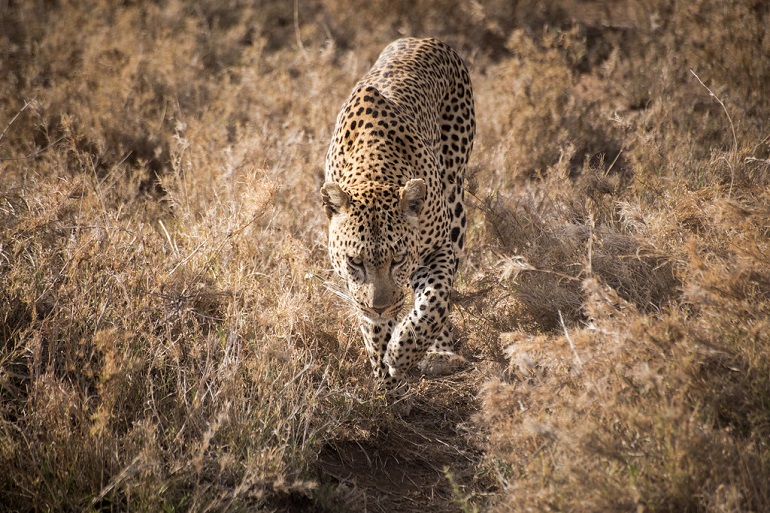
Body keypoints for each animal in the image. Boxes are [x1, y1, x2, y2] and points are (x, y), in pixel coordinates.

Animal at [318, 37, 474, 388]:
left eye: (398, 259)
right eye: (355, 261)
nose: (381, 307)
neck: (374, 171)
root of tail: (423, 39)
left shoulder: (438, 248)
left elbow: (435, 301)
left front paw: (404, 352)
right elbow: (375, 332)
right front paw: (386, 383)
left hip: (455, 196)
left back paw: (439, 352)